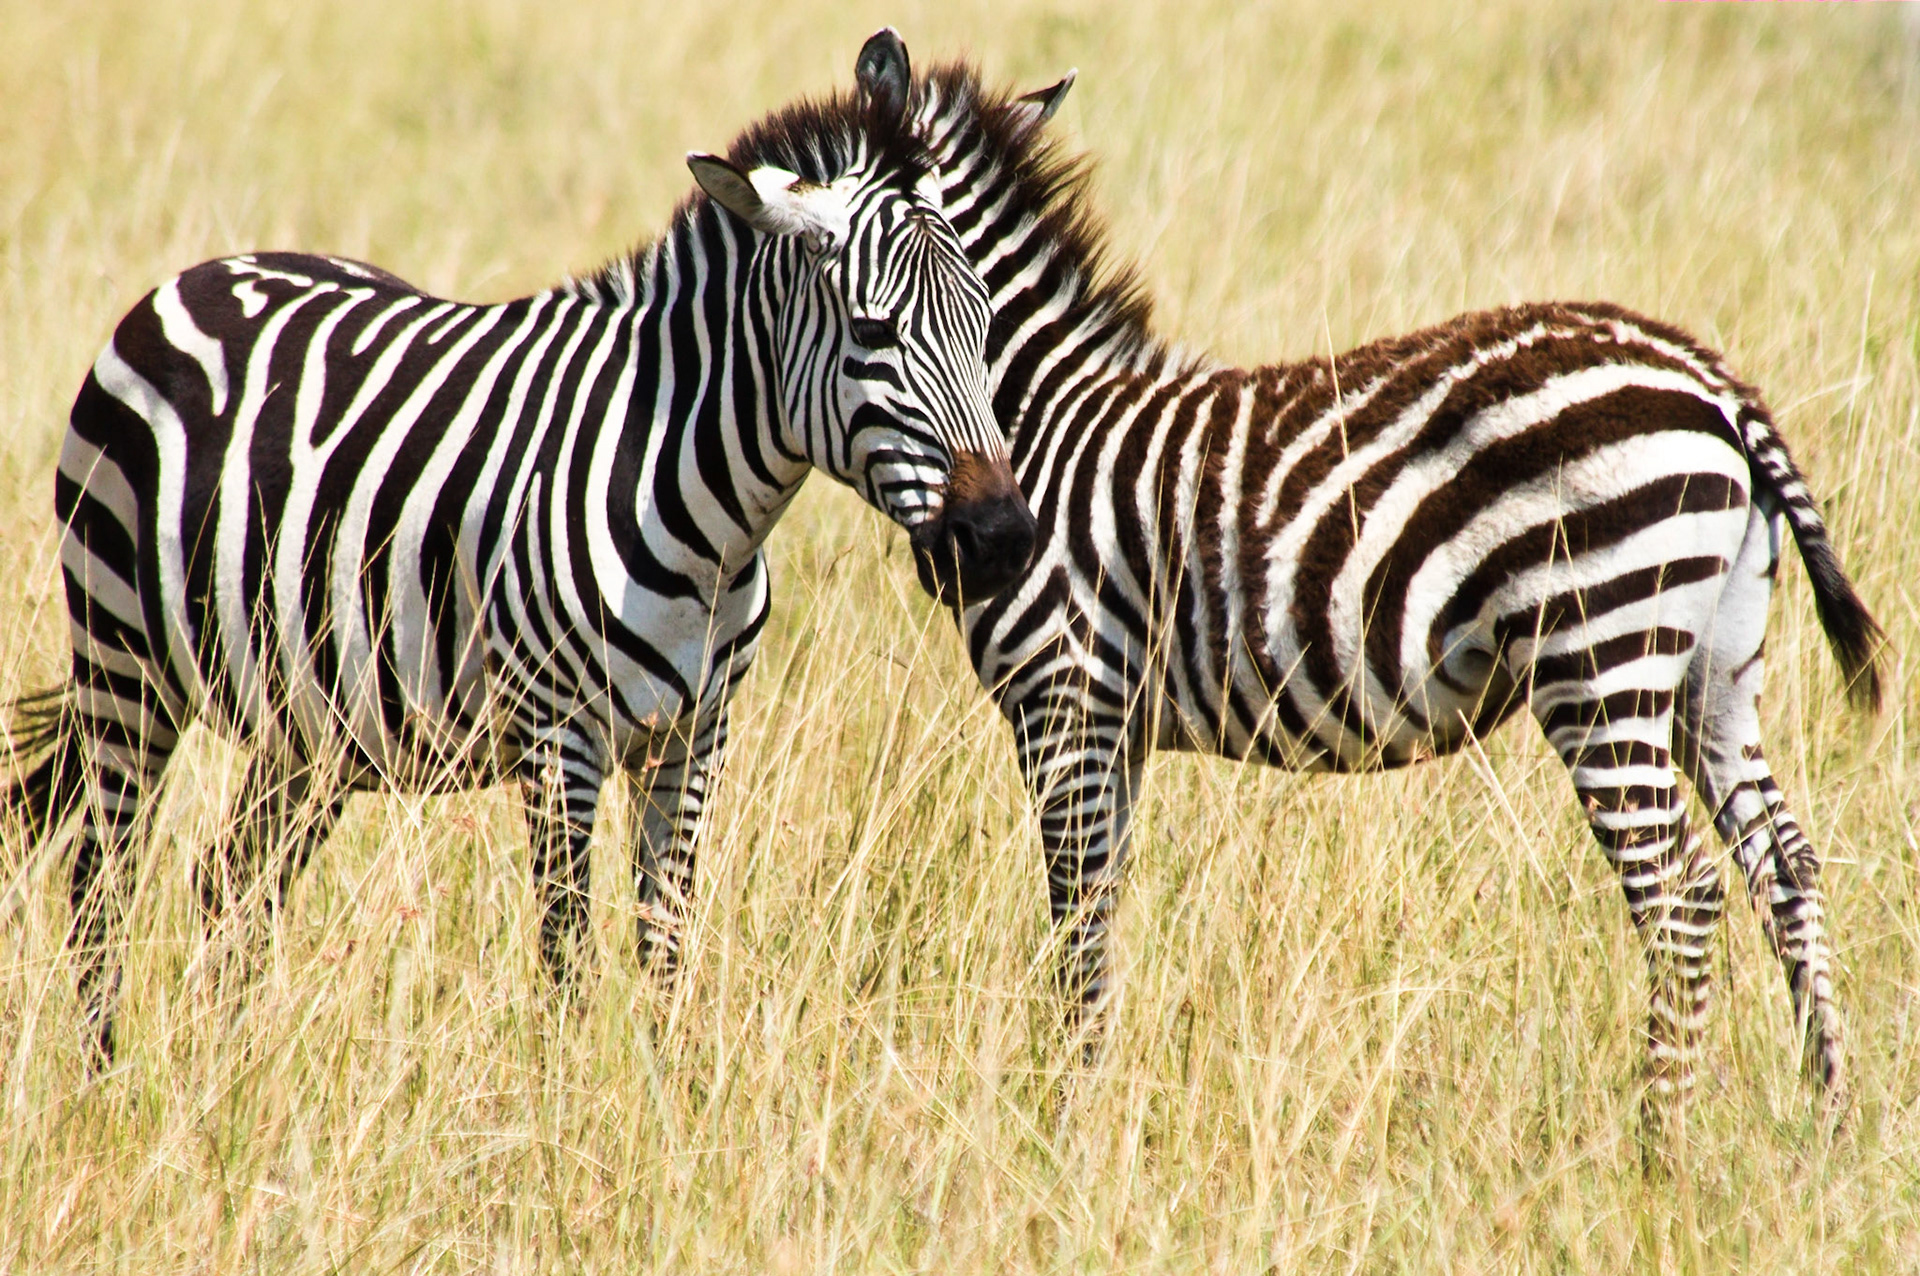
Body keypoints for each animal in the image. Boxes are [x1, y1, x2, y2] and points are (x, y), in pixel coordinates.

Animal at [4, 30, 1038, 1061]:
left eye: (989, 322)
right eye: (872, 330)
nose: (1001, 539)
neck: (710, 527)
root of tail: (197, 277)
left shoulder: (695, 738)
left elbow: (665, 946)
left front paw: (665, 1090)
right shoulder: (558, 737)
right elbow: (568, 954)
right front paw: (572, 1094)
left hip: (308, 719)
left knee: (229, 884)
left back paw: (235, 1063)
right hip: (123, 661)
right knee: (101, 878)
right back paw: (106, 1068)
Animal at [908, 62, 1882, 1132]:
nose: (958, 553)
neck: (1042, 428)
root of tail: (1709, 380)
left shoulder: (1065, 700)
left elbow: (1076, 920)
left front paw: (1065, 1119)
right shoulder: (1110, 721)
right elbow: (1100, 909)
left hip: (1599, 653)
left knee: (1680, 896)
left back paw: (1658, 1144)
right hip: (1715, 661)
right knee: (1784, 870)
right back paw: (1827, 1117)